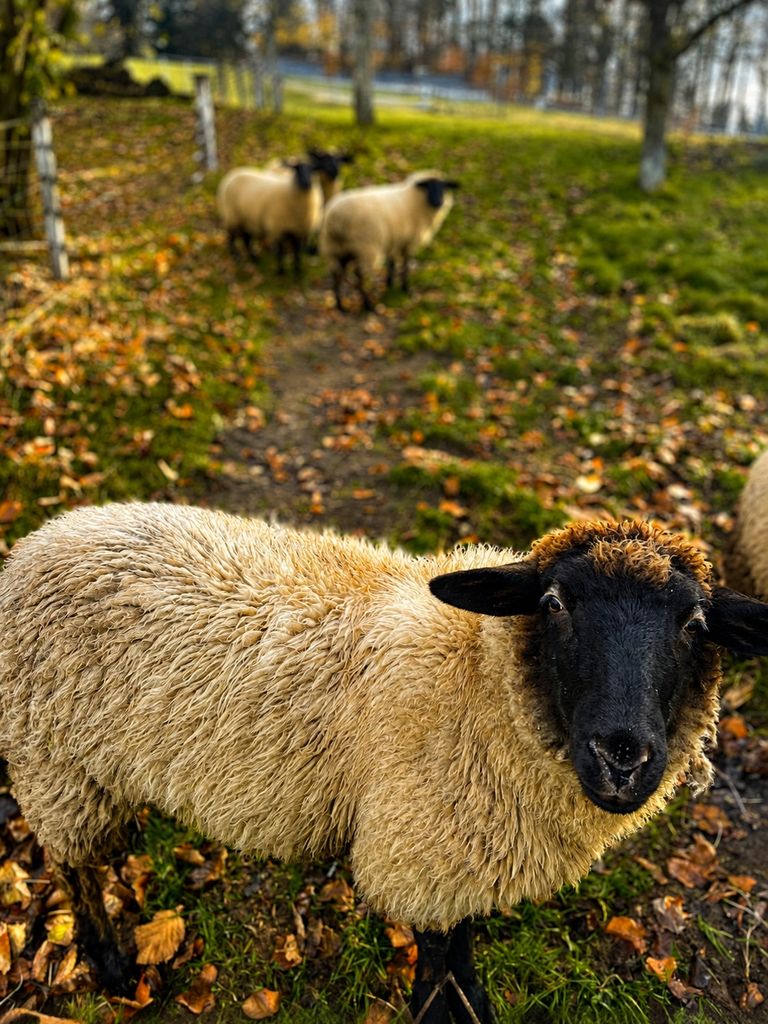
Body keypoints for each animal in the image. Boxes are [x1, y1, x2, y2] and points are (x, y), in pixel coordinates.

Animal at [2, 507, 768, 1023]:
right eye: (554, 603)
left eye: (694, 624)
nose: (621, 757)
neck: (477, 678)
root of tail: (45, 536)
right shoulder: (422, 853)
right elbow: (435, 961)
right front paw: (443, 1008)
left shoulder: (461, 855)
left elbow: (462, 945)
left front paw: (474, 1001)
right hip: (54, 761)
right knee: (72, 864)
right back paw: (107, 962)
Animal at [319, 169, 459, 311]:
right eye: (427, 186)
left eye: (444, 187)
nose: (438, 202)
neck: (414, 198)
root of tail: (336, 218)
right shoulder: (408, 241)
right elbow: (405, 265)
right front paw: (405, 288)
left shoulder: (394, 240)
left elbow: (392, 263)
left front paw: (390, 284)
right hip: (365, 247)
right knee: (360, 276)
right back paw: (367, 304)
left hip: (336, 248)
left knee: (336, 274)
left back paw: (340, 305)